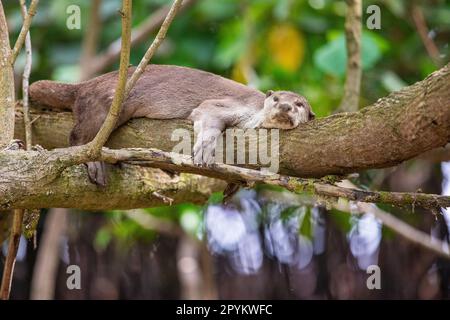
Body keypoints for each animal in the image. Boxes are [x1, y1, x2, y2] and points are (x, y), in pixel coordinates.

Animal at [29, 64, 314, 185]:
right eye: (276, 98)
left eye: (299, 104)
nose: (285, 107)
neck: (254, 109)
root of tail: (85, 84)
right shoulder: (230, 104)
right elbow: (208, 114)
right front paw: (203, 150)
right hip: (107, 103)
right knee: (77, 137)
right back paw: (94, 165)